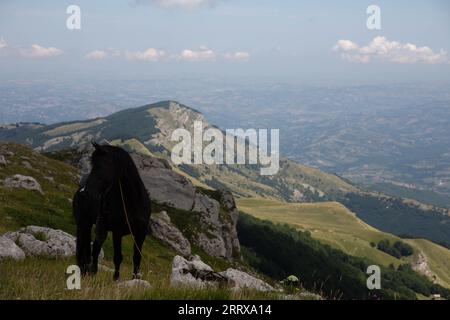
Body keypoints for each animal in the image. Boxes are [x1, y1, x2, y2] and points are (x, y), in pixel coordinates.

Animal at [73, 143, 151, 280]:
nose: (85, 192)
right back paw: (85, 271)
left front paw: (135, 279)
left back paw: (92, 272)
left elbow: (137, 257)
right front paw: (116, 279)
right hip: (84, 225)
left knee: (95, 248)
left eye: (100, 165)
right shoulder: (117, 232)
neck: (132, 201)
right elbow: (118, 257)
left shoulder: (140, 233)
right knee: (84, 248)